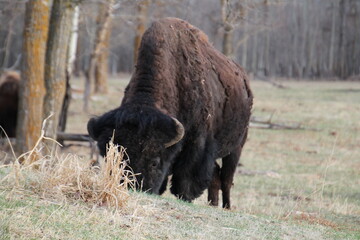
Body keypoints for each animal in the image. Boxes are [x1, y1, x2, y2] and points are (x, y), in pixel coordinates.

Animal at [88, 17, 253, 208]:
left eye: (154, 162)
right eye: (116, 160)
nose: (135, 188)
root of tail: (244, 80)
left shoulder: (197, 145)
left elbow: (187, 178)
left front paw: (185, 196)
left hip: (236, 147)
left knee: (226, 179)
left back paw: (226, 207)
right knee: (216, 178)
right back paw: (212, 204)